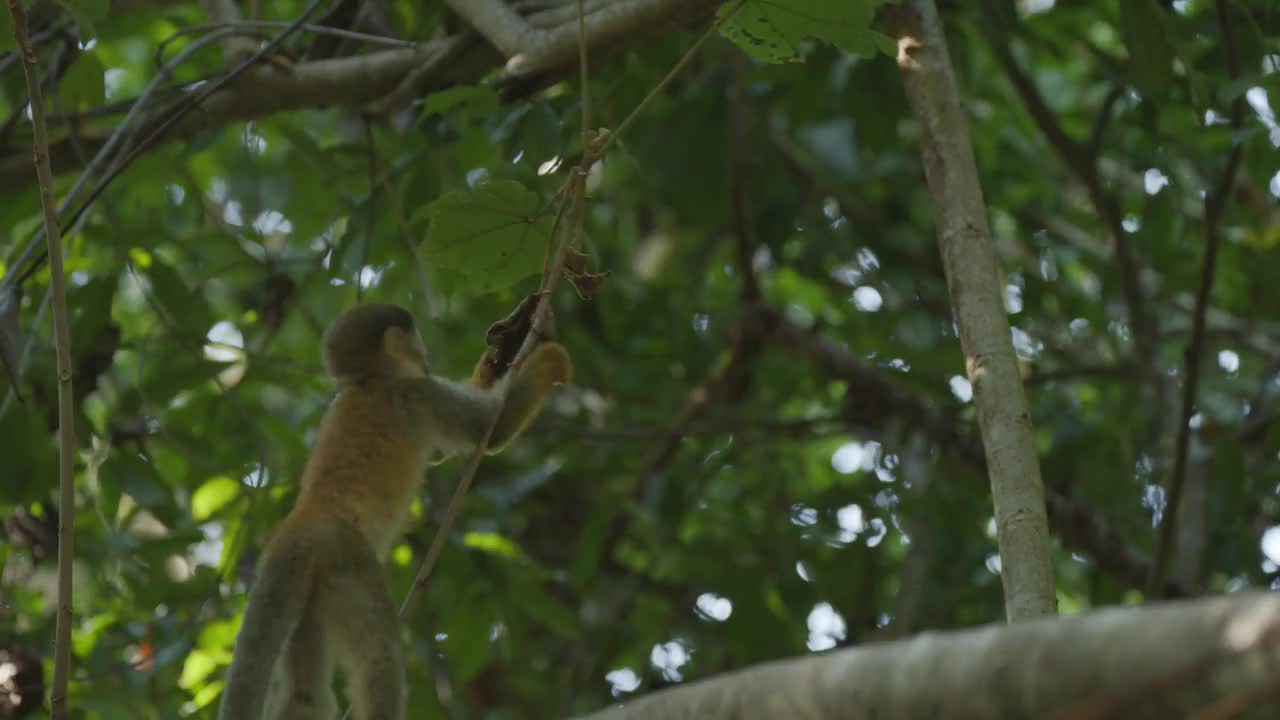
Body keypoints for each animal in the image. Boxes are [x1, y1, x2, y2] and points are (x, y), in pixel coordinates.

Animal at [218, 302, 570, 717]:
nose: (426, 359)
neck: (366, 381)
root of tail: (303, 522)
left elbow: (444, 452)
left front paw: (505, 345)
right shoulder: (416, 393)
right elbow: (494, 428)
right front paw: (551, 355)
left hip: (306, 583)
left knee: (306, 695)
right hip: (346, 559)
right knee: (381, 657)